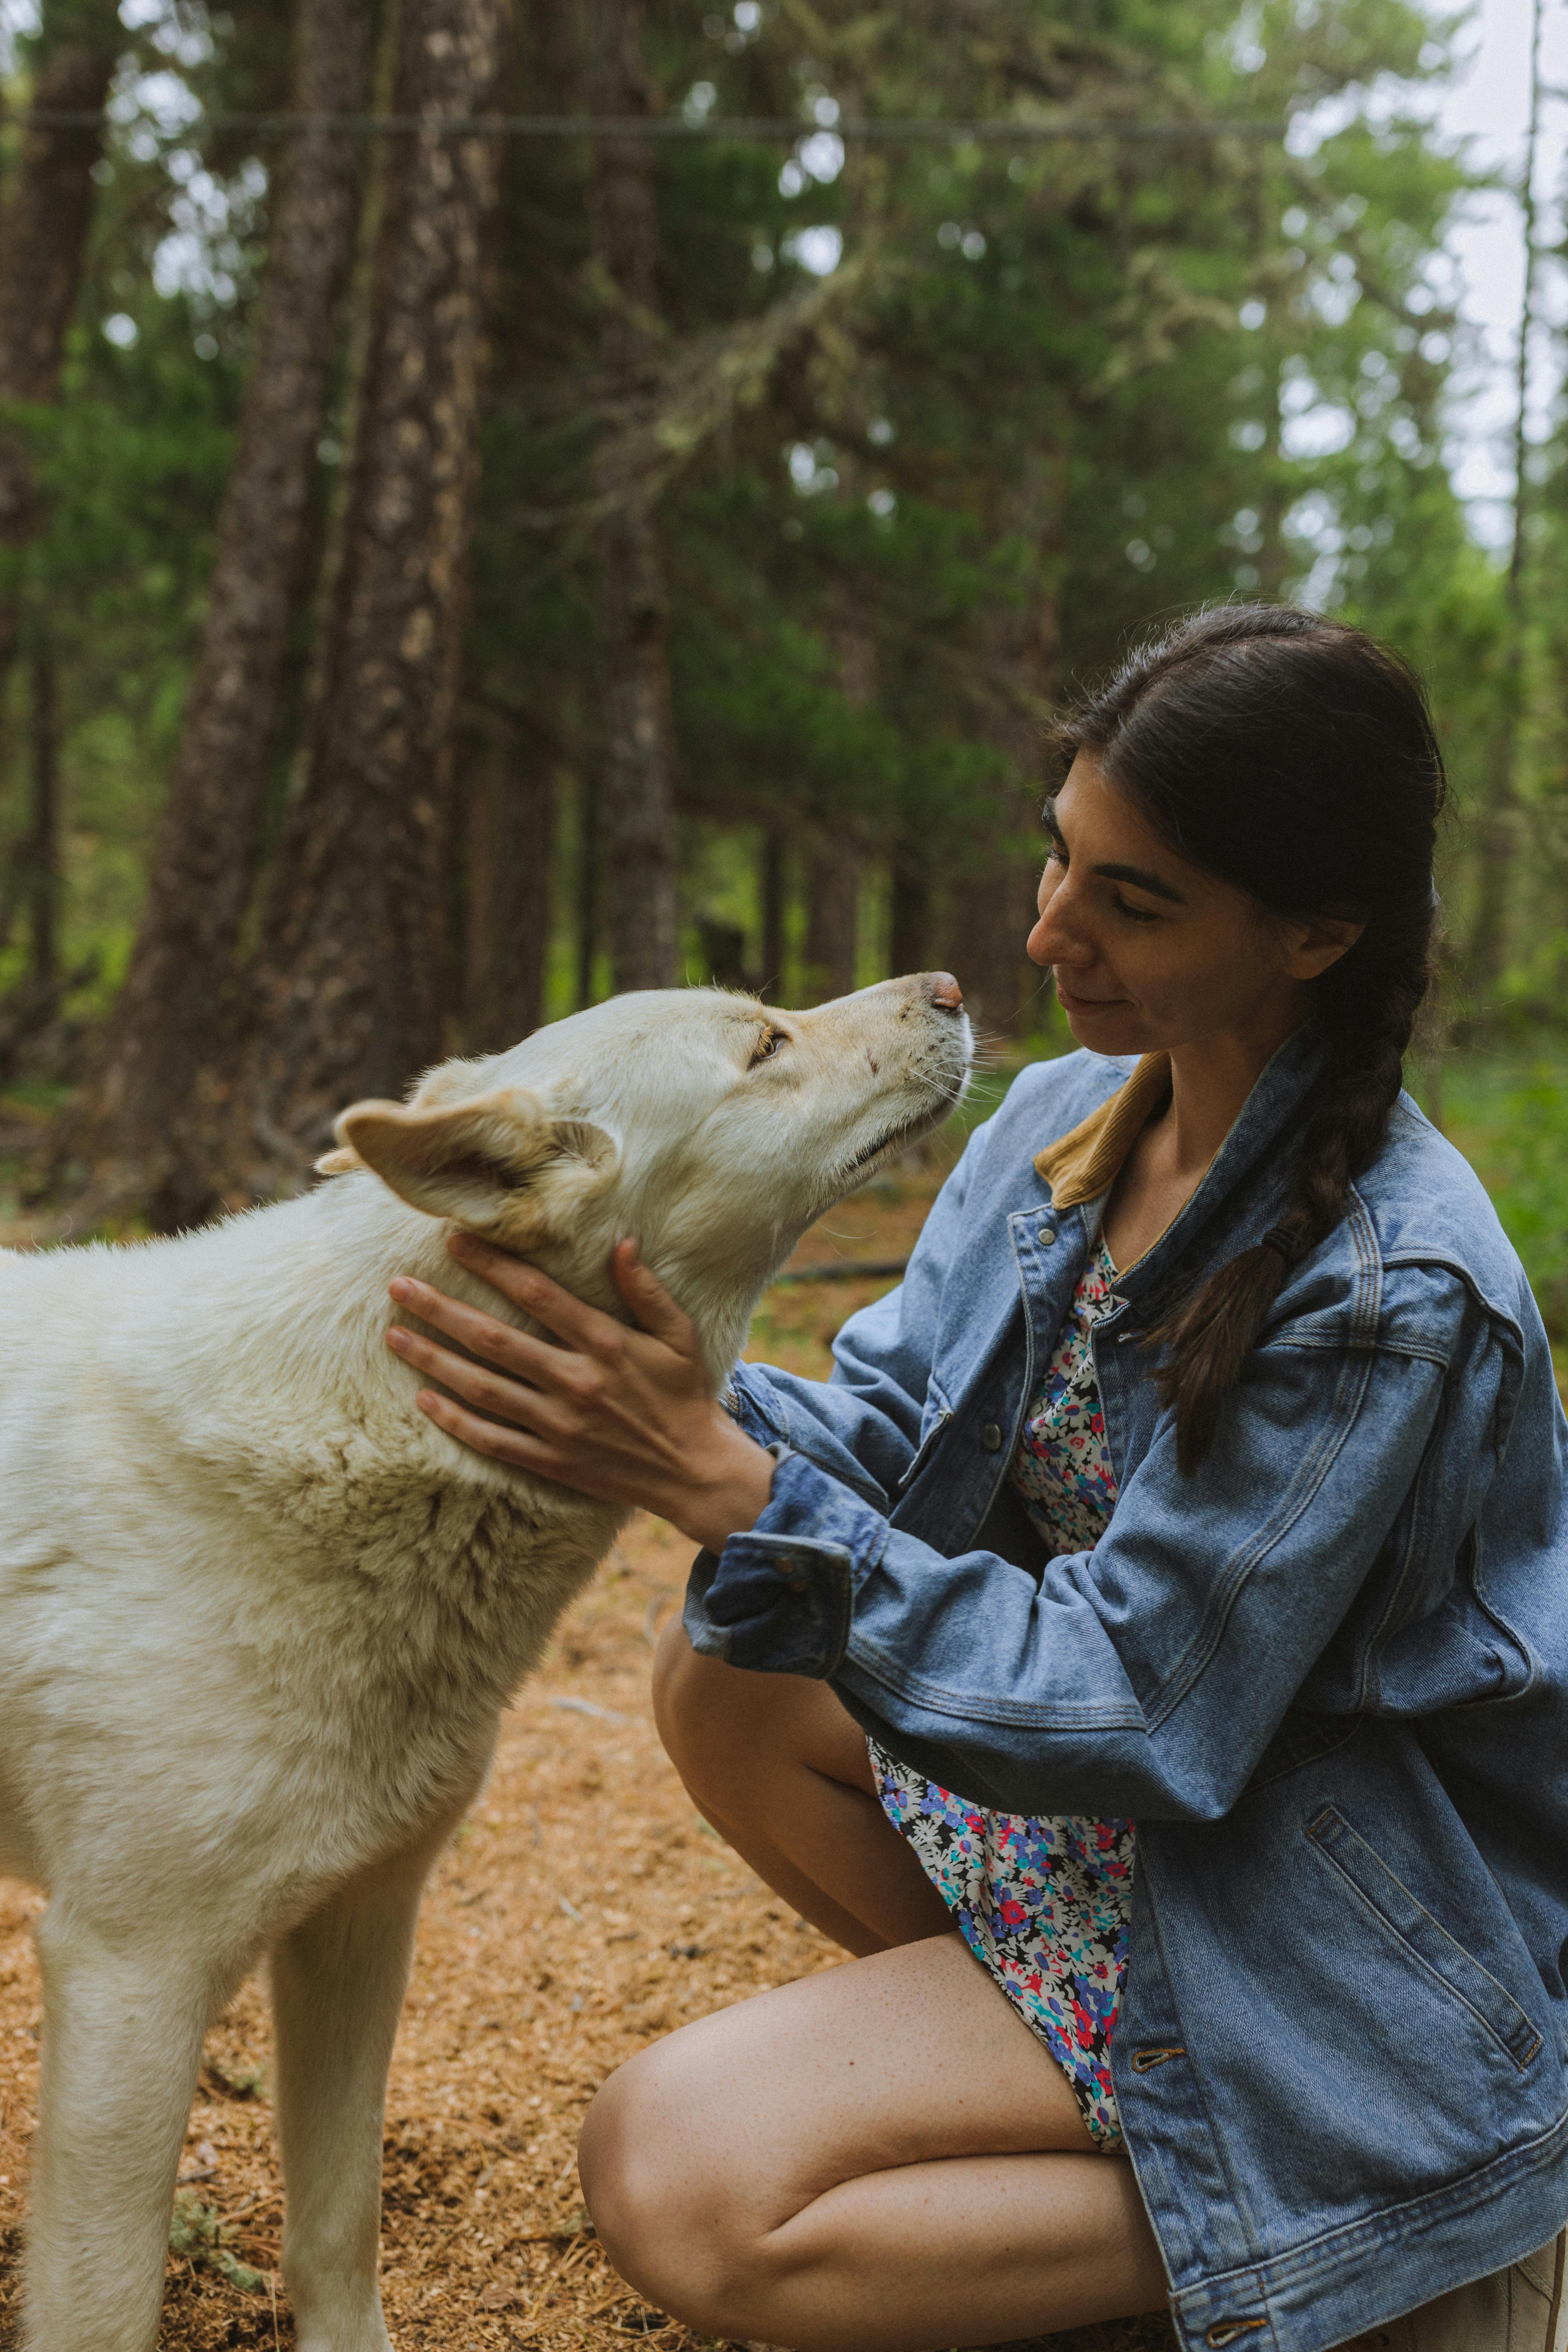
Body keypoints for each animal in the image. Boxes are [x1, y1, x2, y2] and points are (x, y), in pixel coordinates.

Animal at [0, 974, 968, 2352]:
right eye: (763, 1041)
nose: (948, 986)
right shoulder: (127, 1973)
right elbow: (102, 2305)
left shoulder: (360, 1925)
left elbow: (337, 2231)